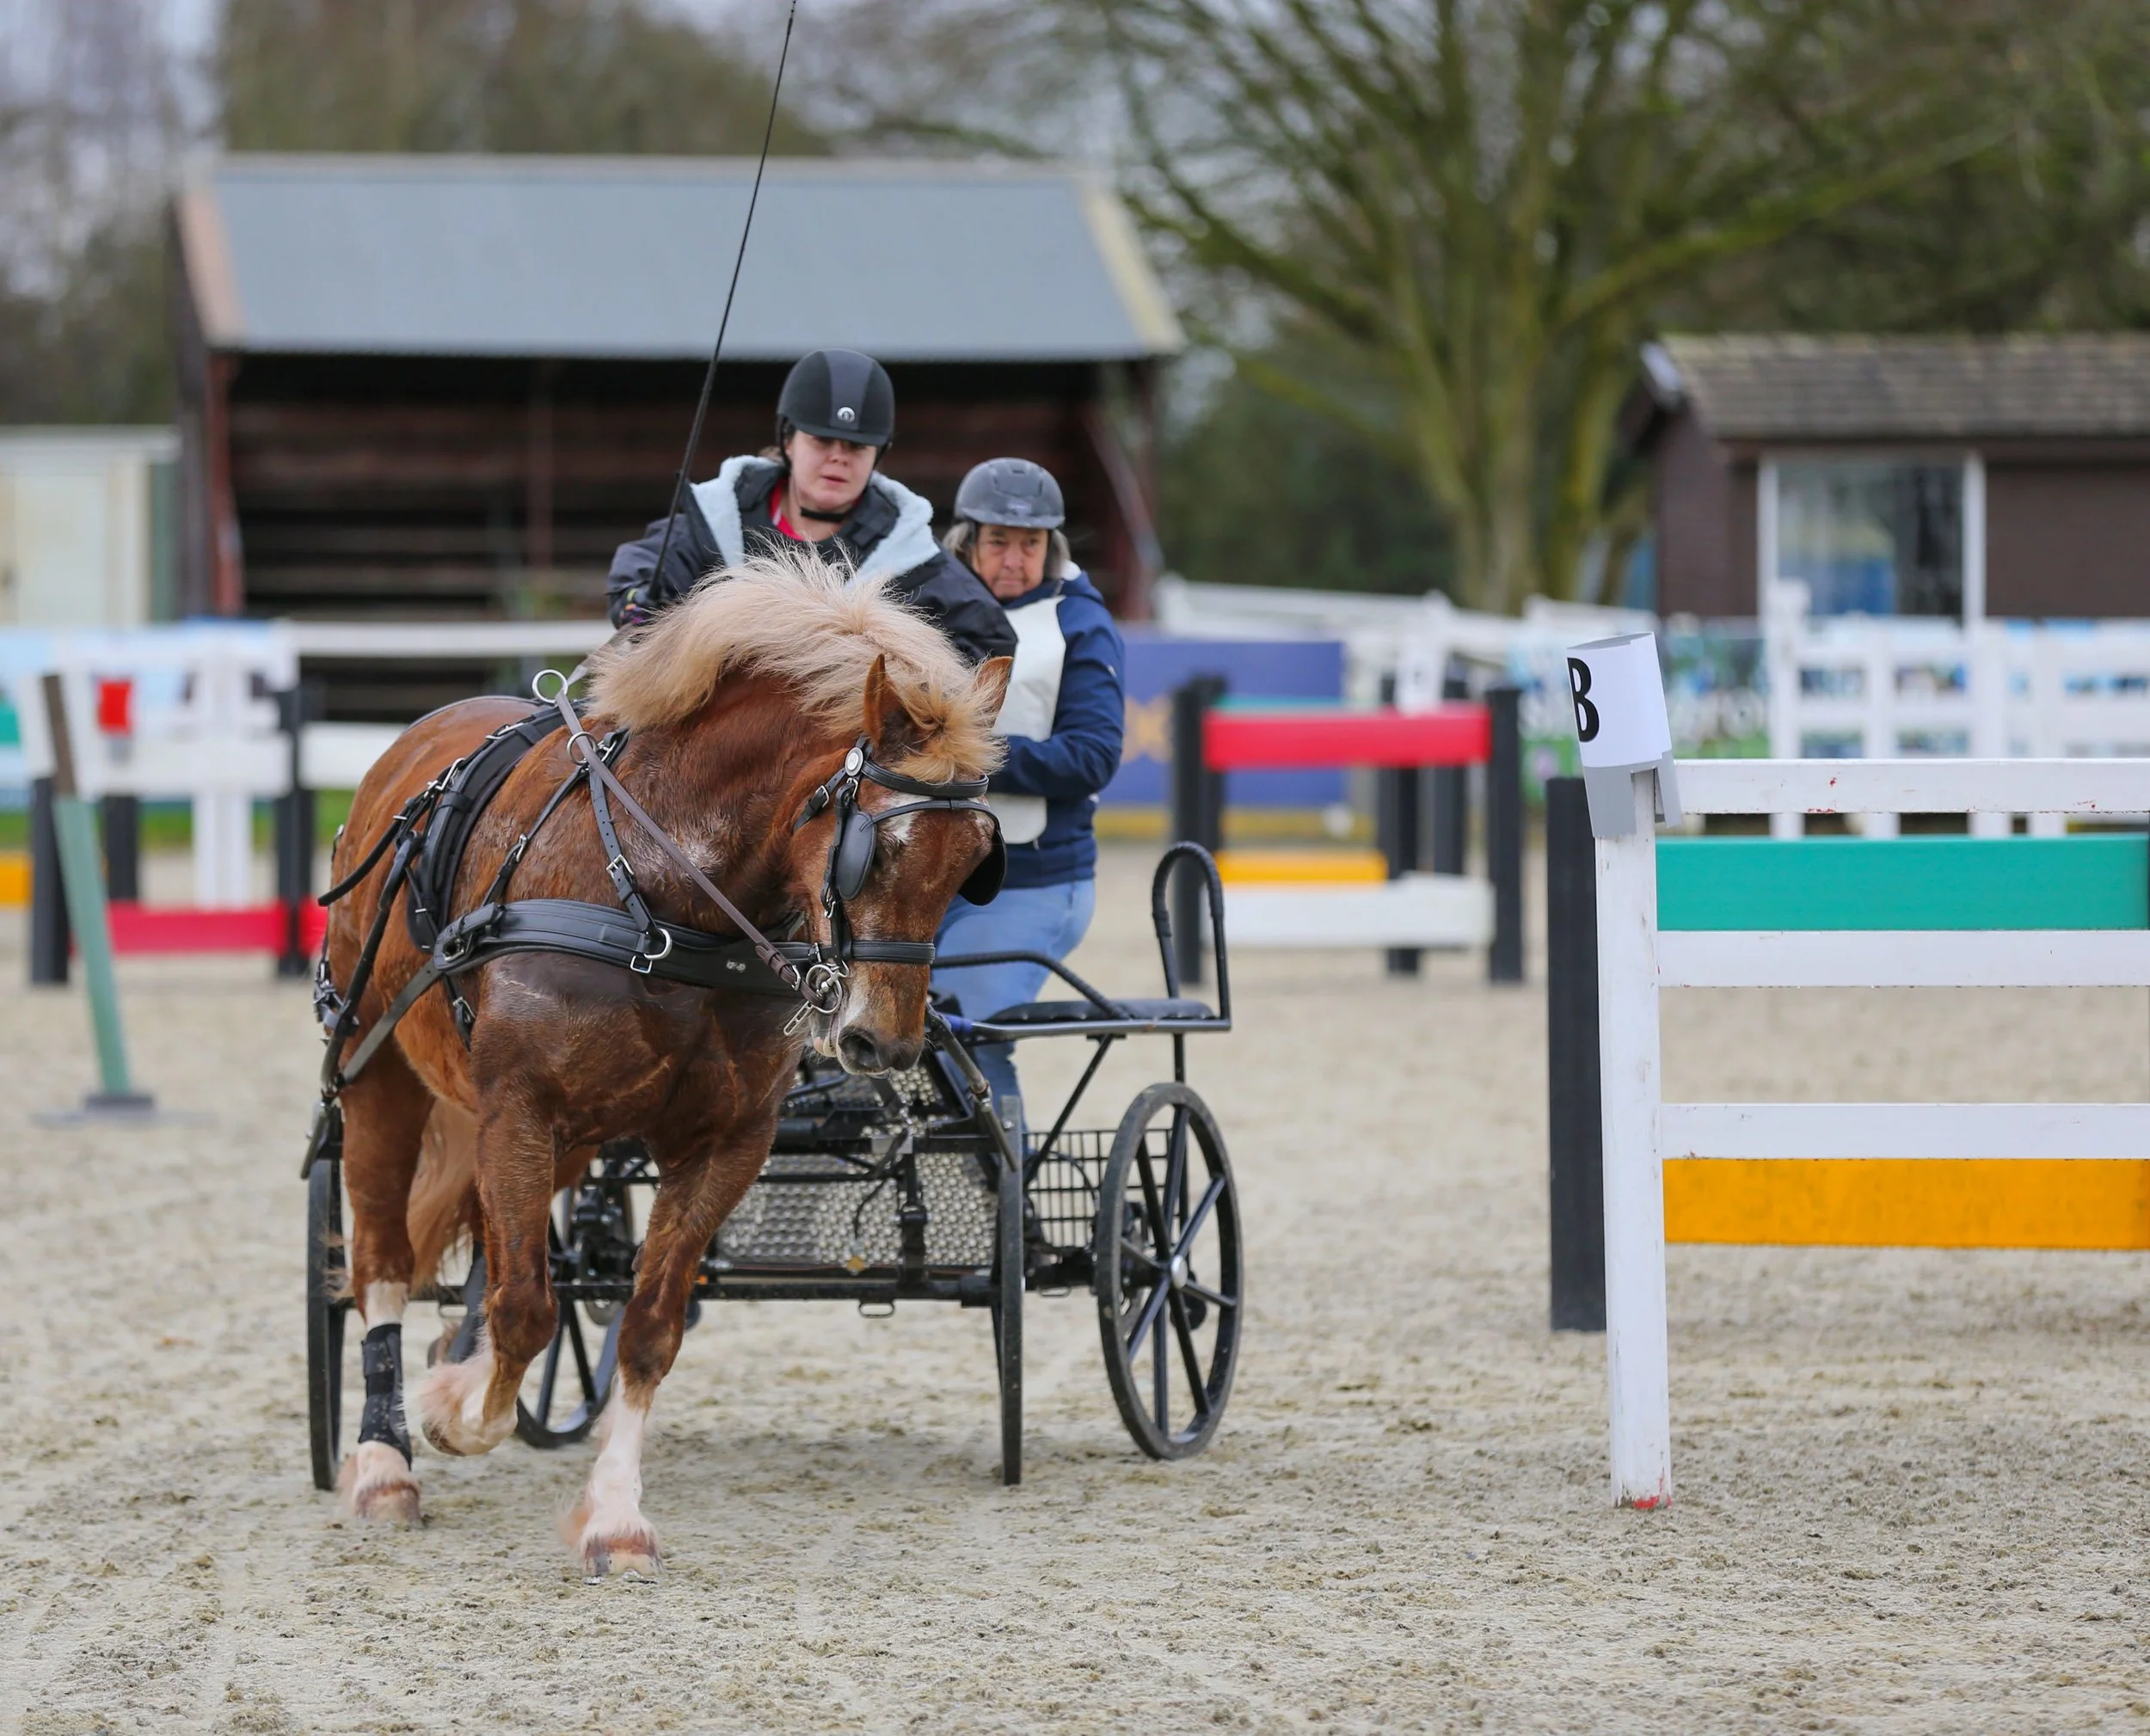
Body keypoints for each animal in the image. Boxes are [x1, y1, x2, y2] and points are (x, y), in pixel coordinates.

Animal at [320, 549, 1011, 1576]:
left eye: (973, 862)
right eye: (876, 853)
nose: (880, 1042)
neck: (664, 900)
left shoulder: (724, 1140)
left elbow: (645, 1326)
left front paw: (613, 1515)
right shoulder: (519, 1109)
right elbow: (525, 1307)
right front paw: (458, 1418)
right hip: (378, 1078)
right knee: (381, 1259)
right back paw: (383, 1466)